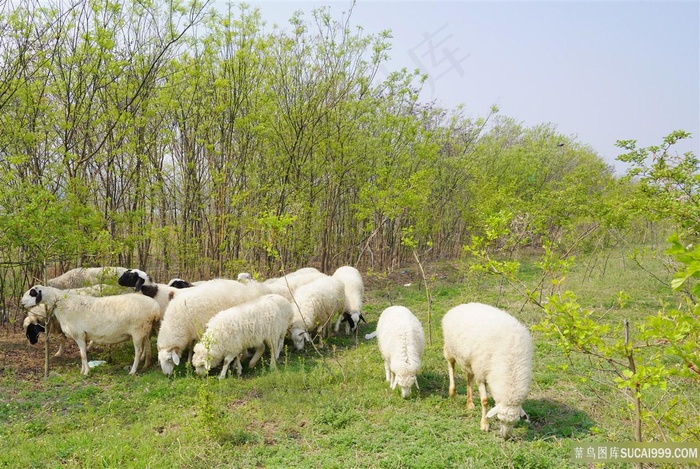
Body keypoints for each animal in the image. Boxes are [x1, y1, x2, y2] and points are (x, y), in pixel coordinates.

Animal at [19, 284, 163, 374]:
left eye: (32, 293)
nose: (21, 303)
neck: (63, 304)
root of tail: (155, 307)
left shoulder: (79, 335)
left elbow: (83, 355)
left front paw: (86, 372)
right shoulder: (81, 336)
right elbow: (82, 354)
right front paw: (83, 370)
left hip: (137, 331)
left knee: (138, 351)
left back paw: (133, 371)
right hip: (145, 329)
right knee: (148, 347)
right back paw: (146, 364)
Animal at [442, 304, 536, 438]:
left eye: (515, 422)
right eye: (500, 419)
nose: (506, 438)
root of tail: (461, 305)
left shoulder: (480, 367)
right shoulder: (481, 373)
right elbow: (484, 401)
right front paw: (484, 424)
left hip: (471, 360)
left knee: (469, 376)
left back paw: (469, 402)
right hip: (450, 348)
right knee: (451, 365)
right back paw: (452, 391)